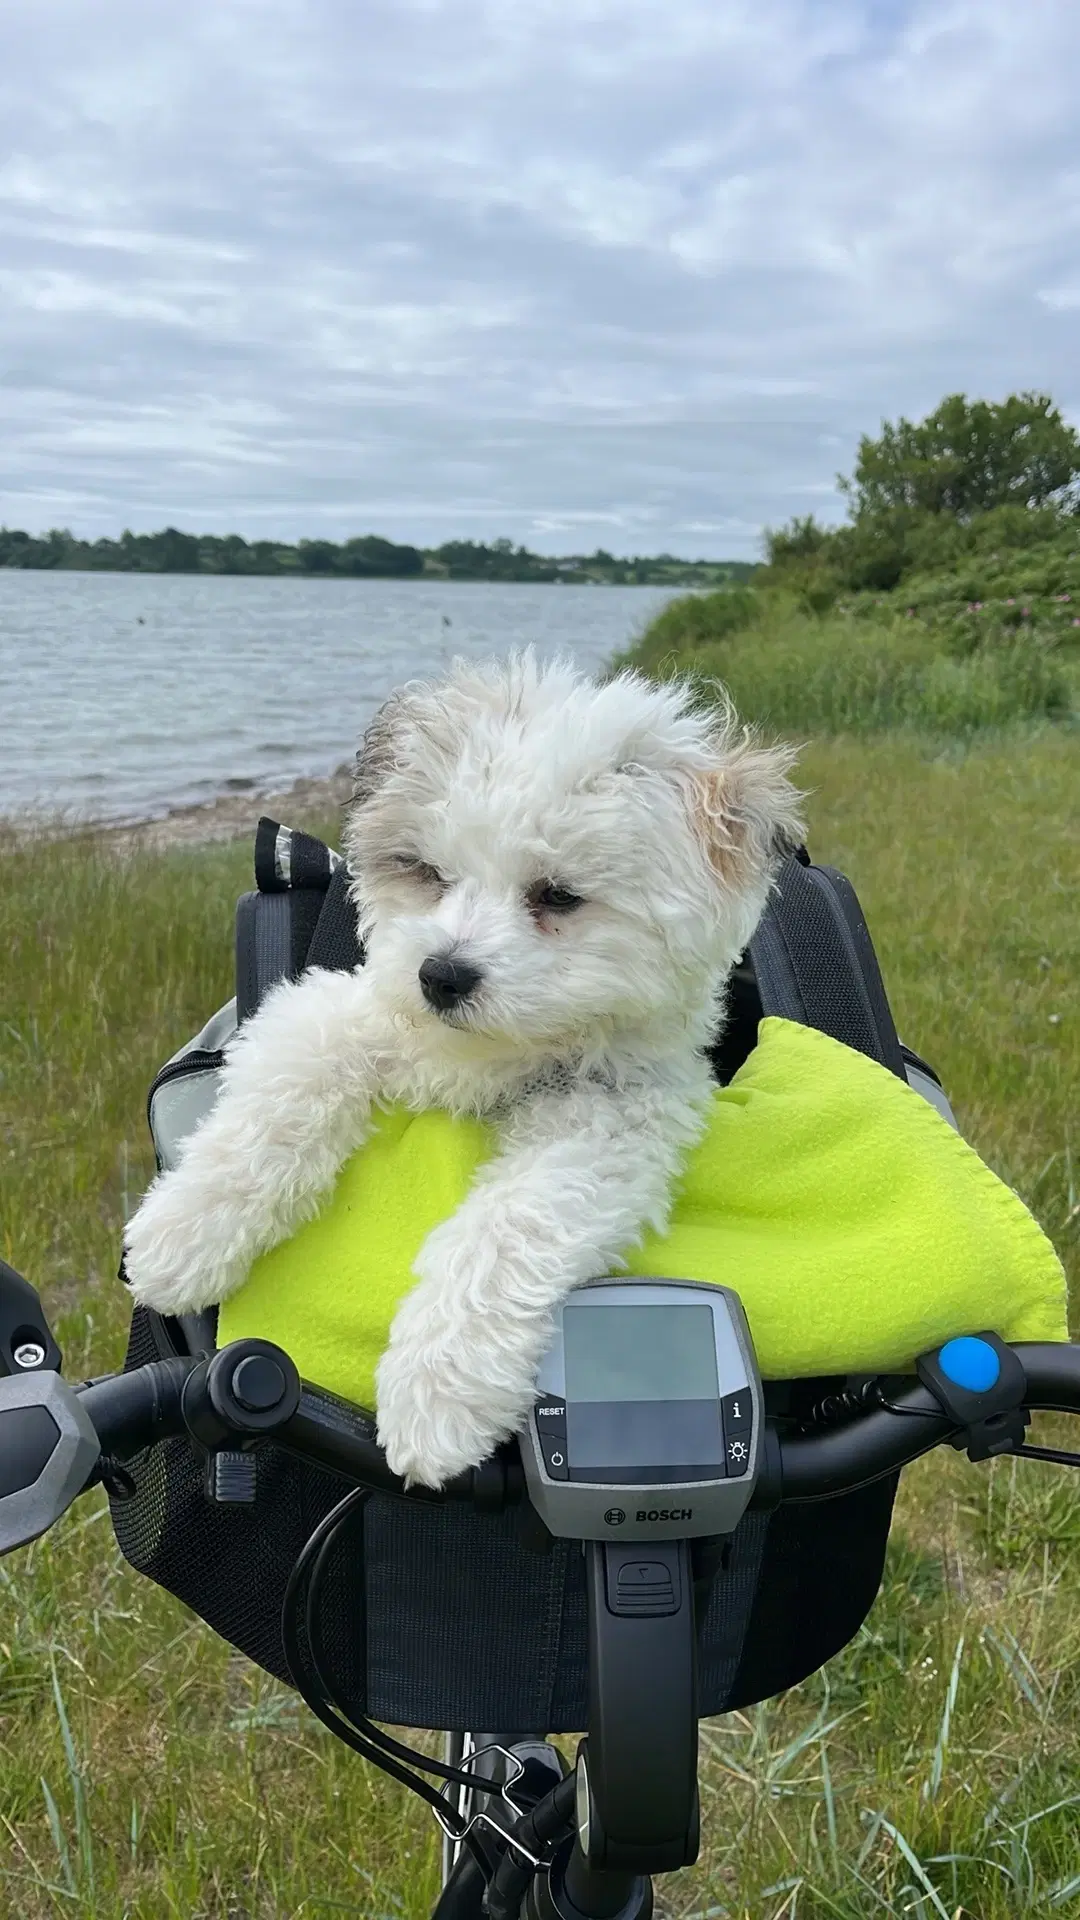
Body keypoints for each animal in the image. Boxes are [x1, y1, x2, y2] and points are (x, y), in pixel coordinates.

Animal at [125, 652, 799, 1489]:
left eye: (558, 895)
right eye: (428, 872)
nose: (441, 975)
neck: (496, 1052)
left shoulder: (614, 1117)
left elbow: (508, 1227)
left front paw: (436, 1389)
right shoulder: (343, 1009)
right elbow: (283, 1098)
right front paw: (185, 1231)